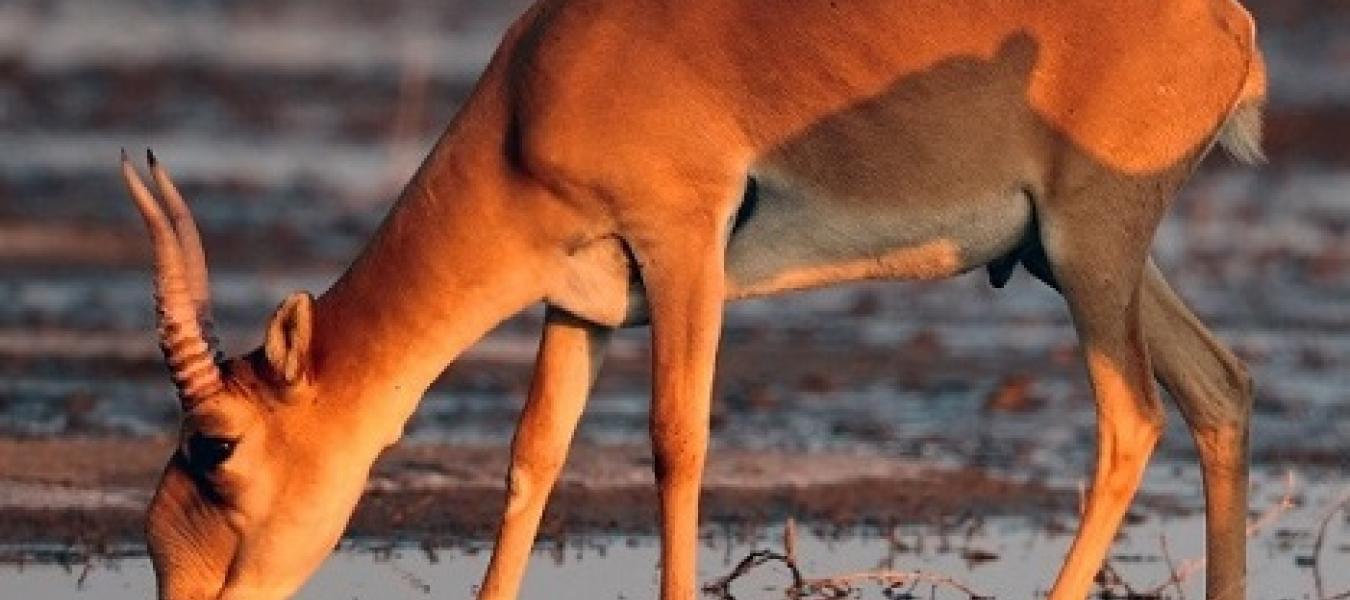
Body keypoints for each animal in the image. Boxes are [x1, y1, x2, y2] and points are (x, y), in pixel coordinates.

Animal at [118, 1, 1263, 600]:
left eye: (214, 446)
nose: (180, 582)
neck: (536, 91)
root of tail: (1229, 26)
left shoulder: (684, 249)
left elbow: (677, 443)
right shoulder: (578, 305)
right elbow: (532, 457)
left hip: (1090, 253)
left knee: (1132, 420)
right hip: (1076, 261)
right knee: (1221, 388)